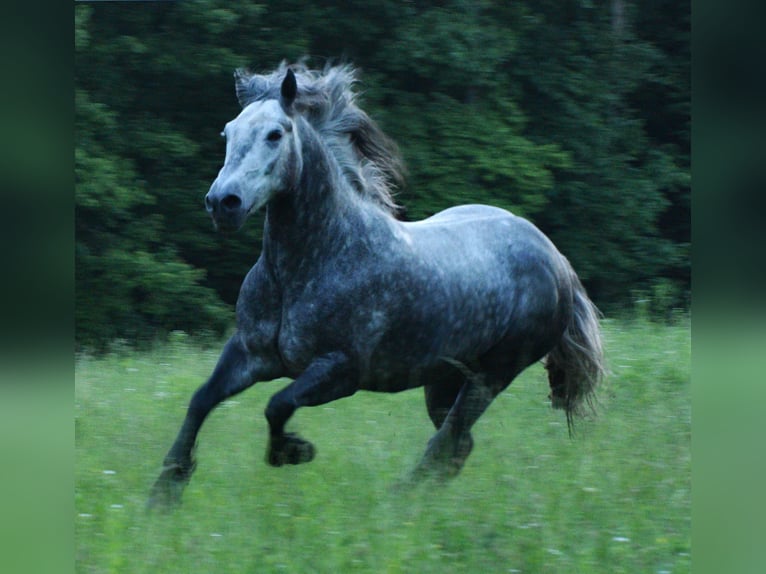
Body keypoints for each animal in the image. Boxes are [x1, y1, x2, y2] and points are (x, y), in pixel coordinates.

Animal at [148, 63, 608, 510]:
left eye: (276, 134)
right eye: (227, 132)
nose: (222, 203)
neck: (311, 263)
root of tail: (554, 257)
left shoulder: (342, 370)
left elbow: (277, 405)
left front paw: (292, 451)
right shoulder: (249, 354)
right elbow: (202, 399)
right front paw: (165, 491)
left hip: (491, 376)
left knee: (446, 443)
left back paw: (397, 502)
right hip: (443, 379)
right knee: (457, 446)